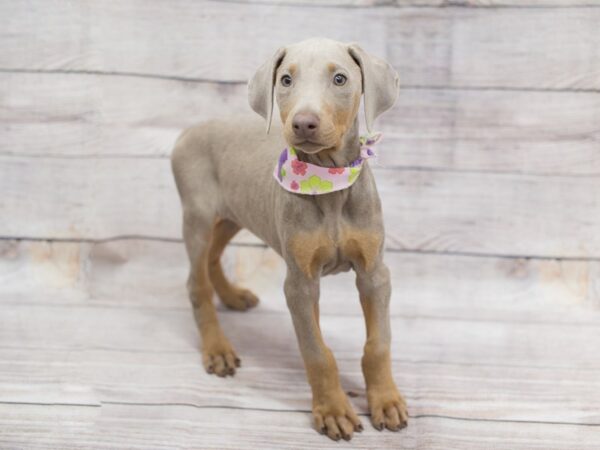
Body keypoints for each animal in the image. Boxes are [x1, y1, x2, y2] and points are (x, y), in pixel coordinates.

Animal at [171, 37, 410, 440]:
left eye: (340, 79)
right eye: (285, 80)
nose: (303, 123)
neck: (328, 182)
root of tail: (190, 130)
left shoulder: (374, 273)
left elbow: (378, 343)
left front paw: (386, 400)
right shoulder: (299, 282)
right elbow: (316, 350)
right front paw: (332, 409)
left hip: (234, 212)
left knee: (214, 256)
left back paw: (232, 295)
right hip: (199, 216)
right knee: (195, 280)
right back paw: (217, 348)